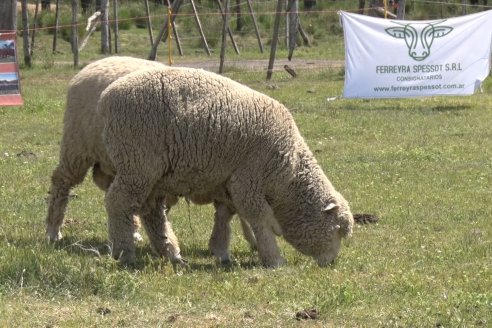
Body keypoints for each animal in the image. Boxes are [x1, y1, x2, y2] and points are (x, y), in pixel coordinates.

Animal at [98, 66, 356, 266]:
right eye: (337, 230)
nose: (331, 263)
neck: (289, 177)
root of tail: (106, 97)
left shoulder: (229, 182)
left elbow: (224, 215)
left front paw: (220, 251)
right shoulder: (249, 179)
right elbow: (259, 218)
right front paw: (274, 258)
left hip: (153, 174)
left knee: (152, 212)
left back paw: (171, 254)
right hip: (137, 164)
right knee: (119, 202)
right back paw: (124, 253)